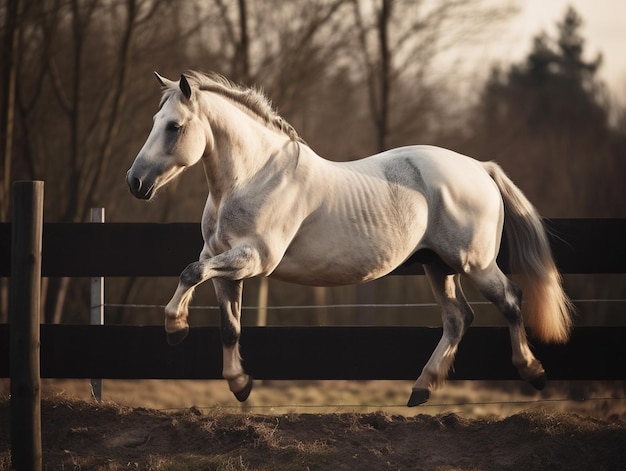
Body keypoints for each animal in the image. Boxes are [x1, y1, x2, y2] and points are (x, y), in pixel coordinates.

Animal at [125, 72, 572, 408]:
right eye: (153, 121)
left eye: (174, 126)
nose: (135, 182)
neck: (252, 177)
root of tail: (480, 168)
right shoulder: (224, 264)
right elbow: (227, 325)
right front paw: (239, 384)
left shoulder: (255, 257)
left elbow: (189, 272)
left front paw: (175, 328)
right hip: (438, 266)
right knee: (458, 318)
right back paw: (421, 389)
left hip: (474, 263)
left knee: (510, 299)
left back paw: (533, 372)